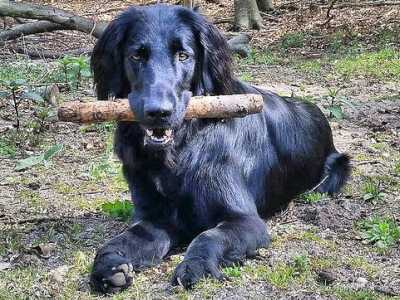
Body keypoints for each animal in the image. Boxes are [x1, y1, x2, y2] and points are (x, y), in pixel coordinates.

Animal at [90, 4, 350, 294]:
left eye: (183, 55)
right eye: (136, 55)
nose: (158, 113)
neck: (179, 151)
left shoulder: (246, 221)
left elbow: (208, 236)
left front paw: (195, 266)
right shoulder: (154, 218)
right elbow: (121, 240)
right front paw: (109, 266)